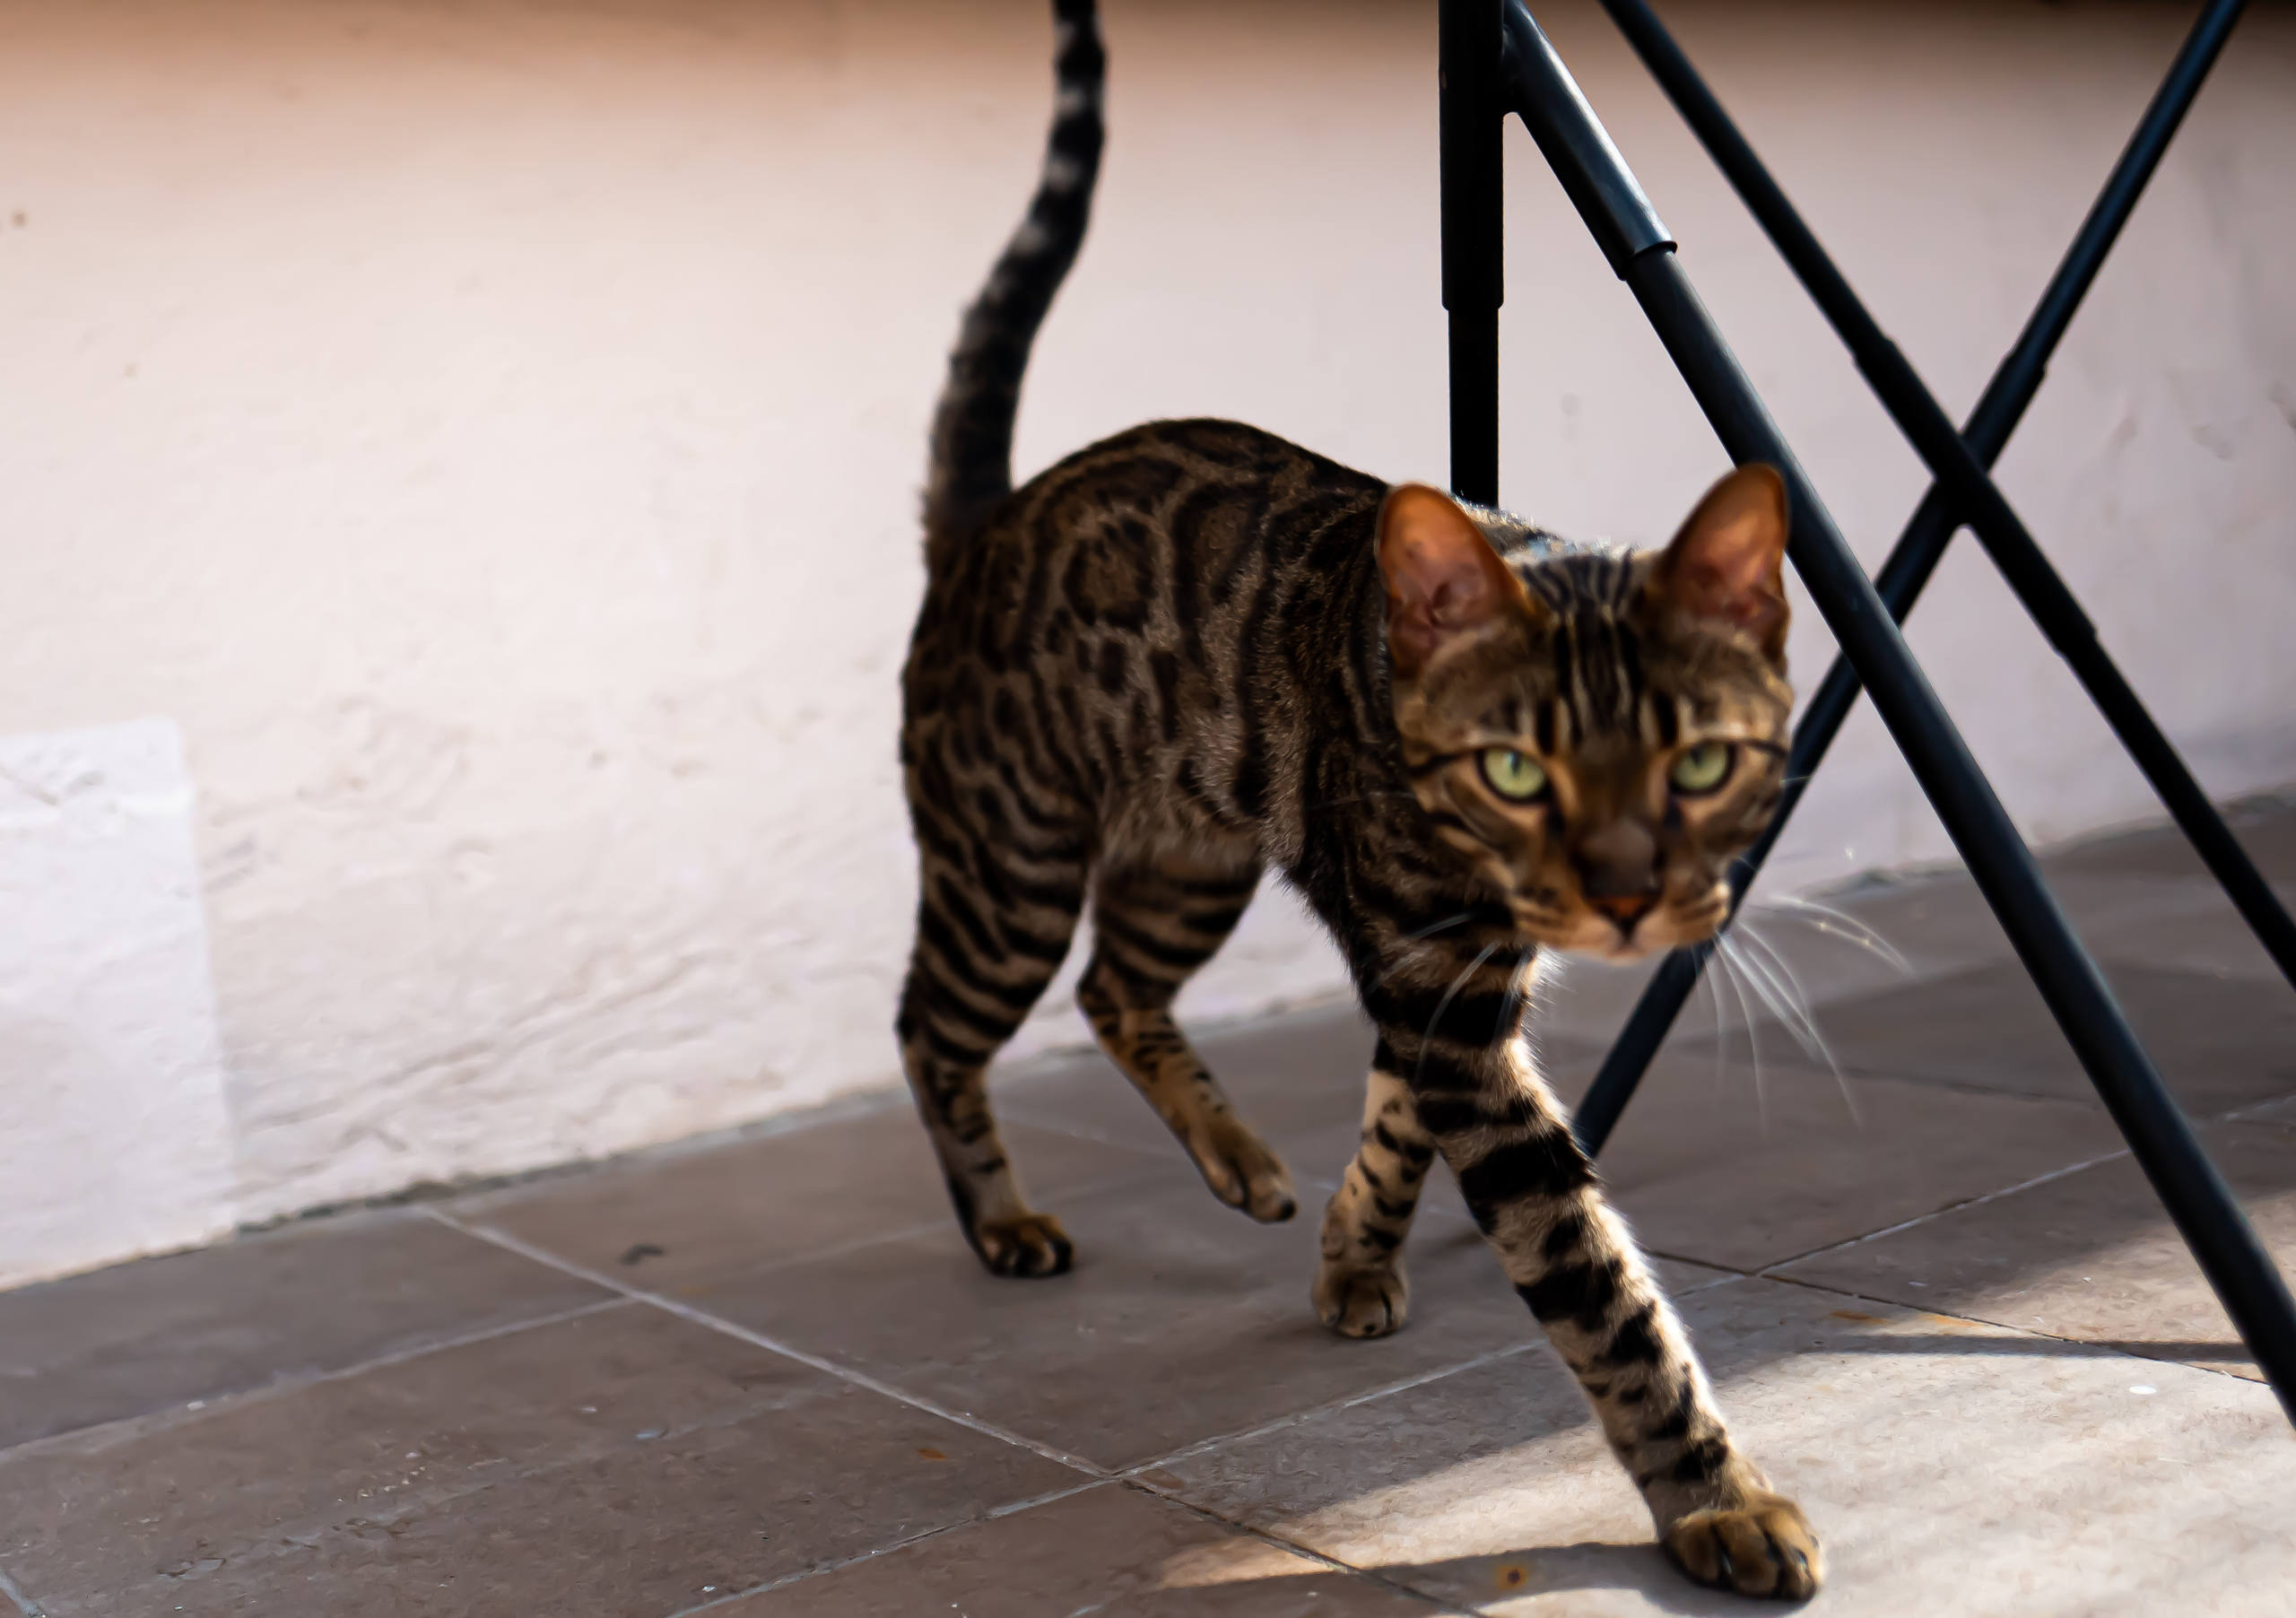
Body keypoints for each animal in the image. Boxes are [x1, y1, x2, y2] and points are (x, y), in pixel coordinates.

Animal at [886, 0, 1818, 1588]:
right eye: (1516, 767)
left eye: (1700, 760)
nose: (1629, 896)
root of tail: (987, 527)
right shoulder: (1447, 997)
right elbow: (1601, 1288)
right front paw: (1719, 1499)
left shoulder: (1447, 989)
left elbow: (1392, 1129)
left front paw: (1351, 1255)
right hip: (1012, 870)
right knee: (932, 1025)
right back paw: (1002, 1216)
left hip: (1188, 859)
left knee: (1113, 993)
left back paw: (1241, 1163)